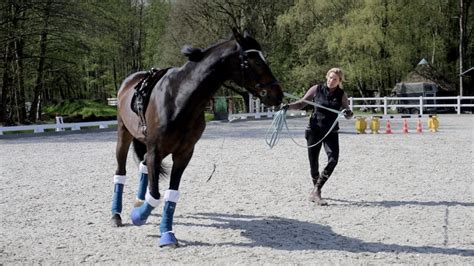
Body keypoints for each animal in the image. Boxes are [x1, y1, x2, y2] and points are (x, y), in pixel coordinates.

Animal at [109, 28, 284, 248]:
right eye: (257, 61)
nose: (278, 94)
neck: (180, 98)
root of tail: (129, 82)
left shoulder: (183, 153)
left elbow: (170, 195)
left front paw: (166, 233)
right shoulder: (156, 150)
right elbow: (156, 195)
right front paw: (138, 217)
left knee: (143, 167)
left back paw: (139, 201)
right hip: (124, 135)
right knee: (120, 172)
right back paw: (116, 215)